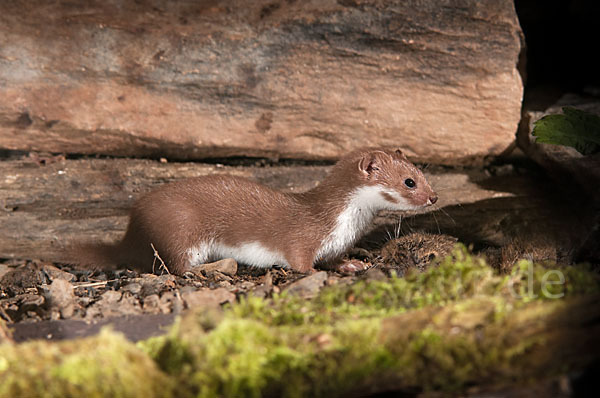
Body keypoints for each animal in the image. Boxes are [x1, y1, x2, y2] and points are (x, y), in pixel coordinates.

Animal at [70, 148, 436, 276]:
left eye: (422, 171)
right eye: (410, 182)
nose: (434, 197)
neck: (346, 225)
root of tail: (131, 228)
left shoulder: (334, 244)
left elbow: (334, 259)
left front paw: (352, 264)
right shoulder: (303, 238)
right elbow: (300, 261)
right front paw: (313, 272)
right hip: (180, 230)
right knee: (174, 266)